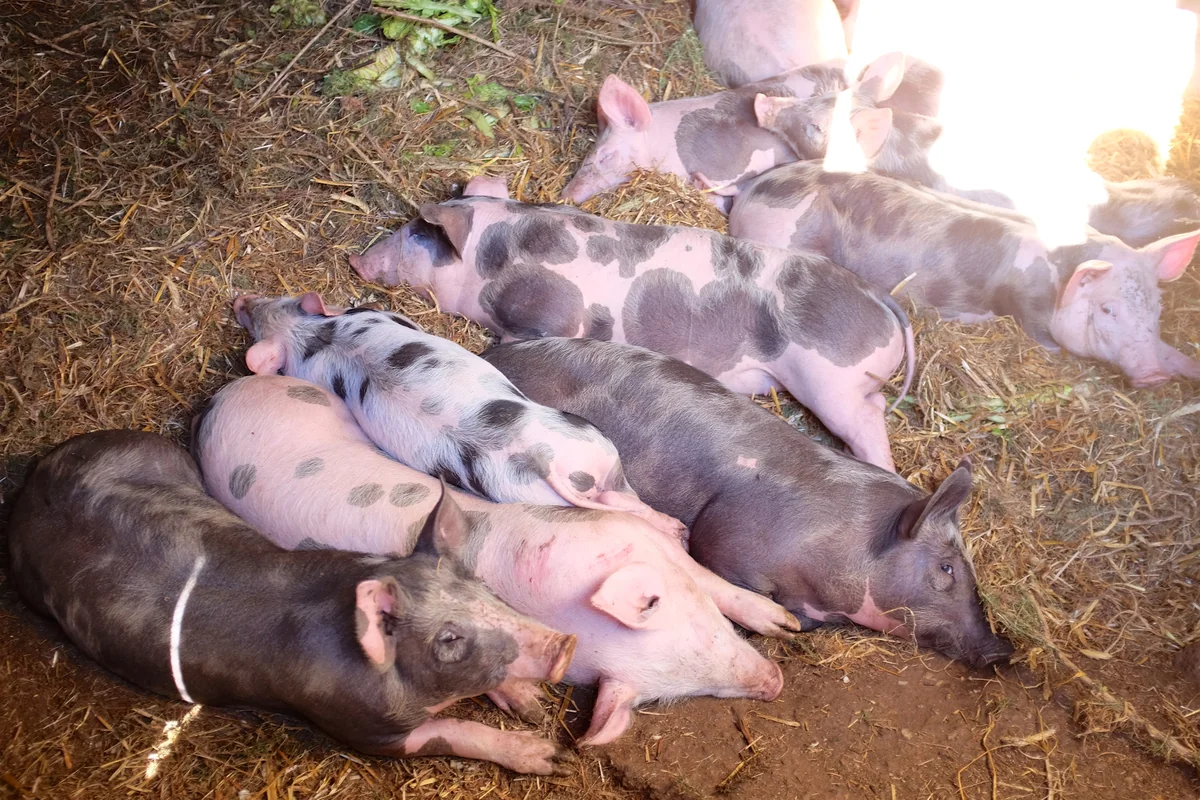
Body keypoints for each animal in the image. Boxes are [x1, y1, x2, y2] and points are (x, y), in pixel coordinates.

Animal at [7, 430, 577, 774]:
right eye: (449, 639)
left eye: (480, 585)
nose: (566, 645)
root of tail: (29, 486)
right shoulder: (362, 727)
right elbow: (452, 732)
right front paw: (547, 755)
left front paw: (532, 703)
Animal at [193, 374, 798, 744]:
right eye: (675, 693)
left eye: (706, 629)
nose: (774, 684)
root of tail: (220, 400)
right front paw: (531, 708)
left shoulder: (634, 538)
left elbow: (706, 574)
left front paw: (784, 623)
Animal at [232, 293, 685, 538]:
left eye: (280, 301)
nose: (240, 300)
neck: (312, 336)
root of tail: (540, 458)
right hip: (594, 447)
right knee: (623, 499)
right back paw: (677, 530)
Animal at [349, 178, 915, 471]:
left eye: (416, 233)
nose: (357, 261)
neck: (495, 255)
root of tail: (879, 298)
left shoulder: (551, 313)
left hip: (830, 379)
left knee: (869, 420)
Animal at [728, 161, 1200, 386]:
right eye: (1107, 310)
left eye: (1157, 310)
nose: (1154, 377)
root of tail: (752, 192)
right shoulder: (1032, 317)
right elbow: (1048, 343)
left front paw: (1186, 368)